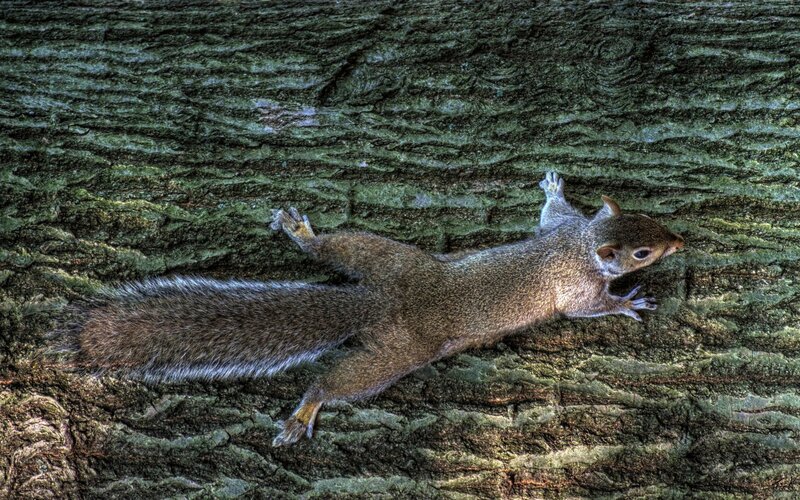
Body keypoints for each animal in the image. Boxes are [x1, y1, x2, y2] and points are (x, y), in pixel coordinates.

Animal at [56, 172, 684, 446]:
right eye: (642, 252)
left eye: (649, 221)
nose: (680, 241)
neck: (581, 245)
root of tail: (379, 298)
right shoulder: (575, 282)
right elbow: (586, 309)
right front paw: (628, 303)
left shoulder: (563, 231)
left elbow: (552, 212)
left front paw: (554, 188)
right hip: (394, 355)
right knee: (336, 382)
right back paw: (304, 412)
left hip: (379, 255)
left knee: (335, 249)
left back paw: (302, 234)